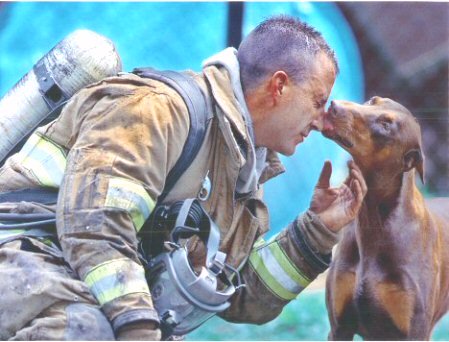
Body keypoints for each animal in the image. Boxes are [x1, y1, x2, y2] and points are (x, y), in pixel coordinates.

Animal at [324, 96, 449, 340]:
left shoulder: (414, 332)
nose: (334, 105)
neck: (373, 222)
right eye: (372, 101)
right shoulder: (339, 328)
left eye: (386, 125)